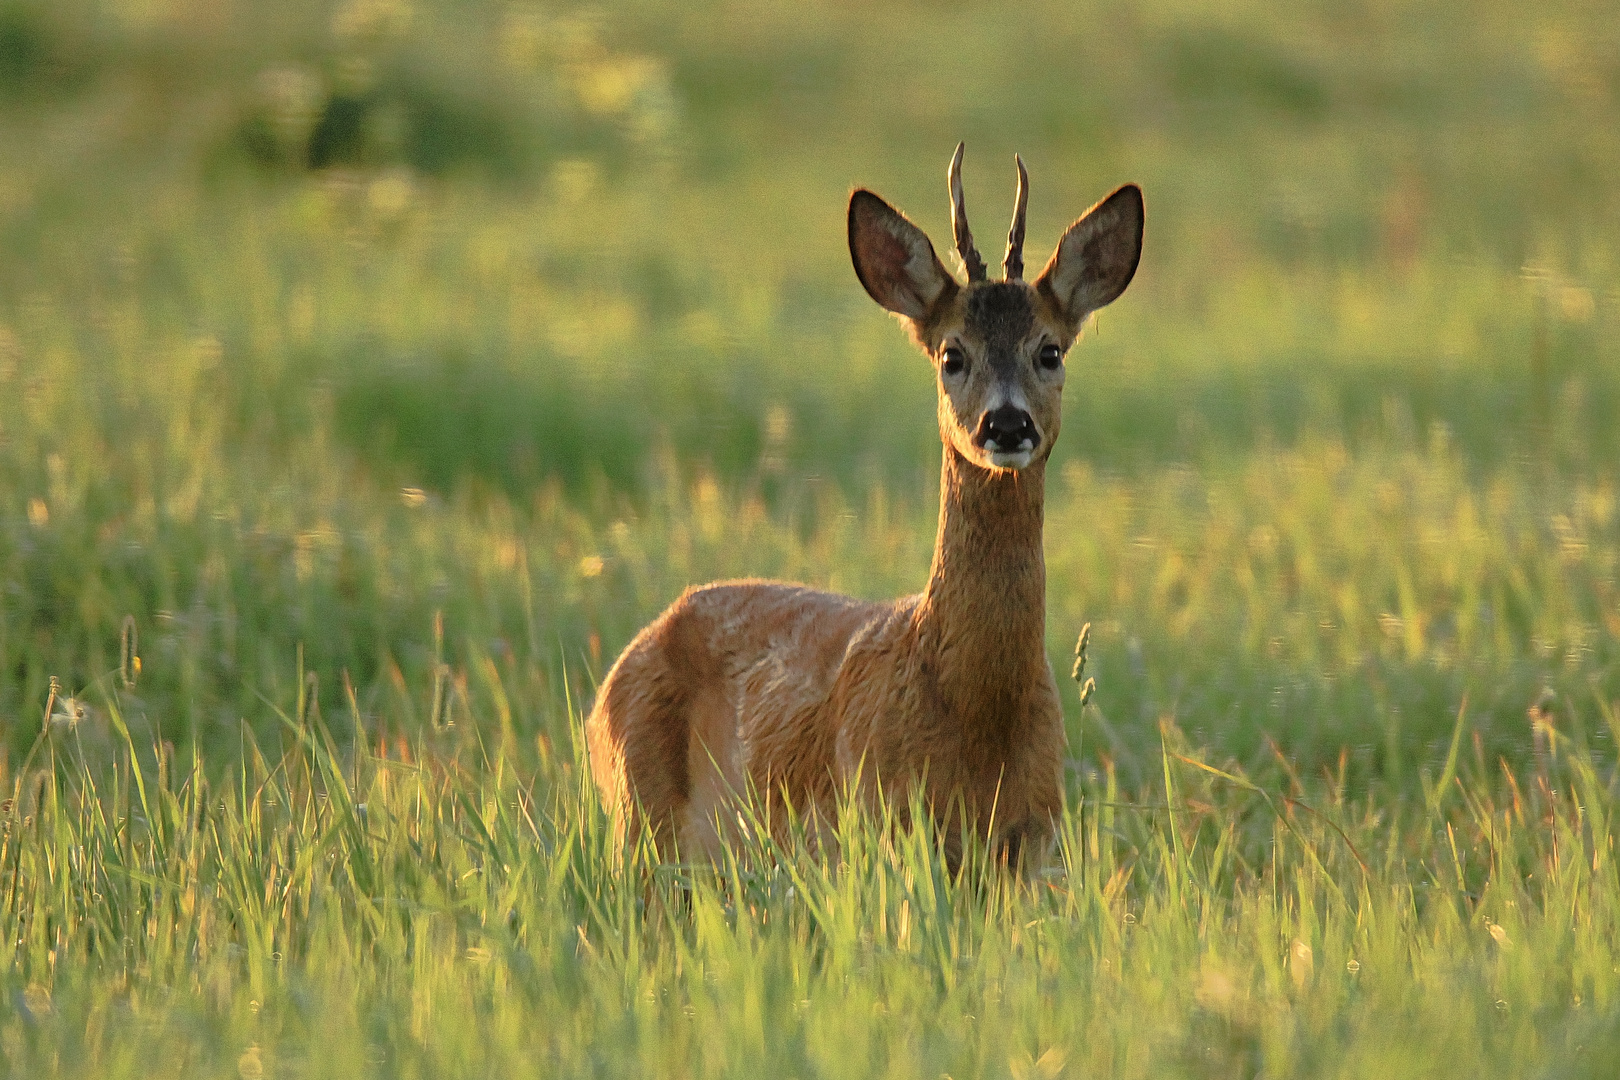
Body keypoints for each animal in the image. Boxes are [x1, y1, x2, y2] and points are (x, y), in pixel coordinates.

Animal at [589, 145, 1146, 867]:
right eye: (952, 354)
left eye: (1049, 350)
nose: (1006, 424)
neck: (979, 718)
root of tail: (614, 677)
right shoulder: (879, 817)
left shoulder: (1034, 839)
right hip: (639, 815)